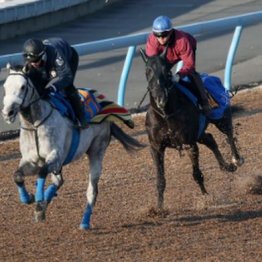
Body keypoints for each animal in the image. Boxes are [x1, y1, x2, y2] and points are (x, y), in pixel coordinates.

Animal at [140, 48, 243, 211]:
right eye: (147, 71)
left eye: (167, 71)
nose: (160, 98)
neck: (166, 114)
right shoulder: (156, 148)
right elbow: (160, 180)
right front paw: (159, 209)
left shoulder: (189, 144)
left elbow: (196, 173)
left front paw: (206, 197)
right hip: (199, 133)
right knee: (210, 139)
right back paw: (226, 166)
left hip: (221, 117)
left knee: (229, 134)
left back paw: (236, 159)